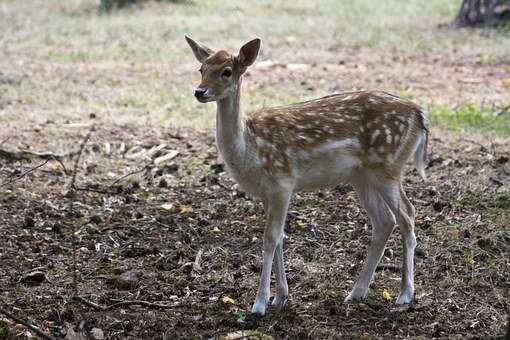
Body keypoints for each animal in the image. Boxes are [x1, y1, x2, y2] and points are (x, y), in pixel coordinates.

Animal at [185, 36, 428, 316]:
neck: (249, 147)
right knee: (384, 221)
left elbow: (270, 238)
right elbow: (280, 238)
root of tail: (420, 114)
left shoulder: (282, 182)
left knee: (407, 215)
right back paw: (356, 293)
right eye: (201, 69)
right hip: (362, 175)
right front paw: (280, 297)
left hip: (388, 166)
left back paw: (404, 294)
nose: (199, 91)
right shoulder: (267, 192)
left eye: (226, 71)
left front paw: (259, 304)